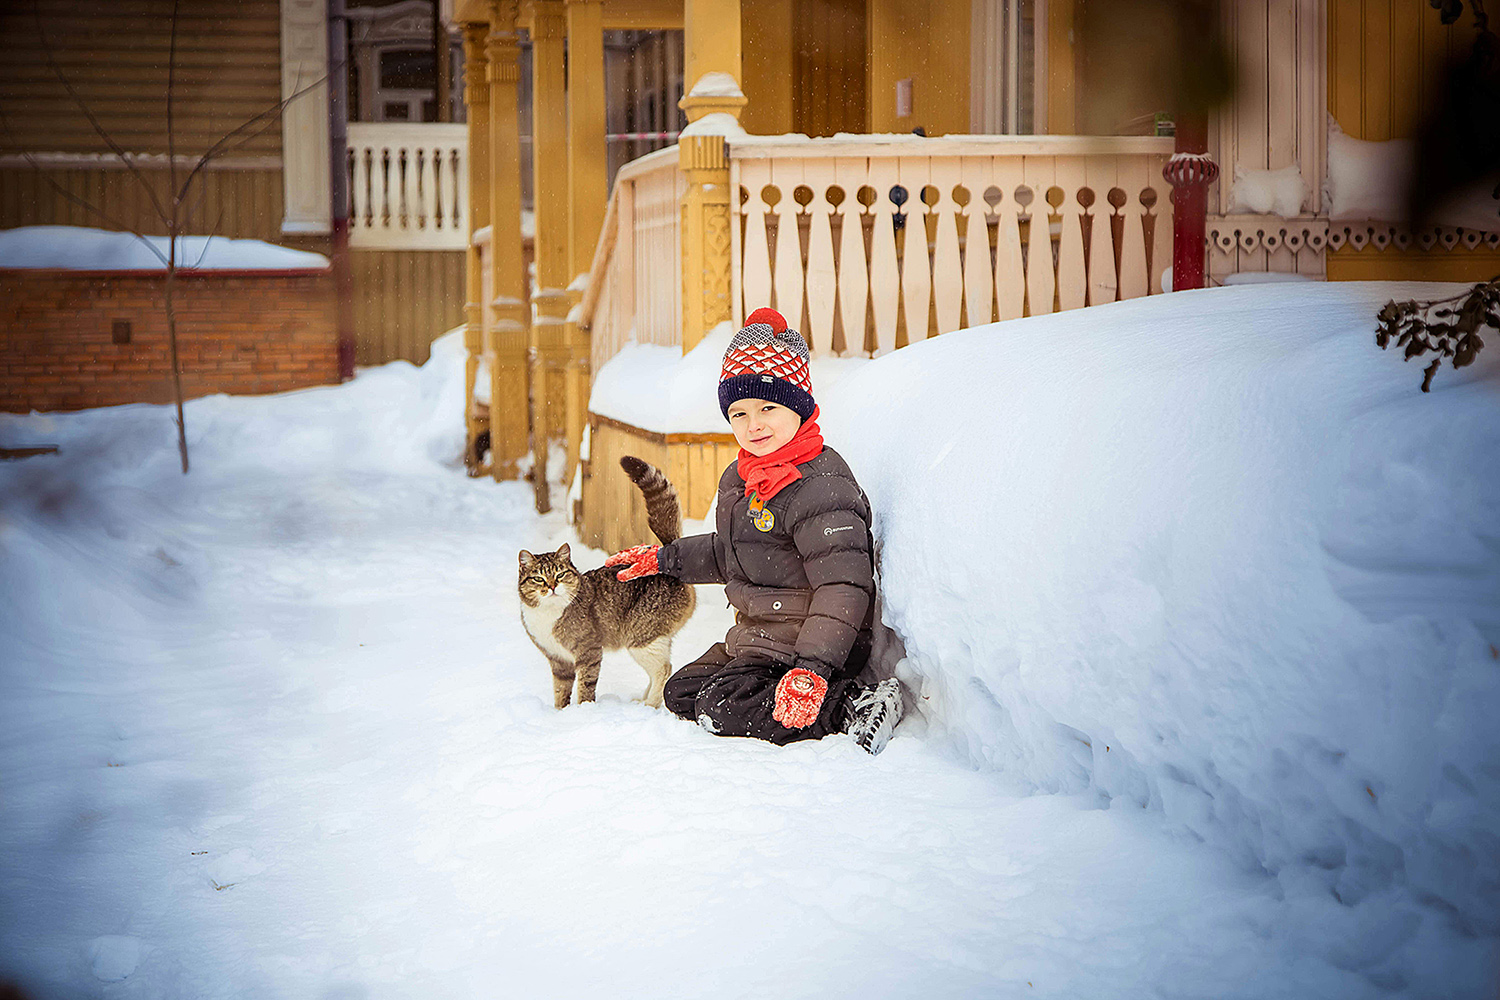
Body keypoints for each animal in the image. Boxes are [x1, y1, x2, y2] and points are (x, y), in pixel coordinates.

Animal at [522, 458, 696, 707]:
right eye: (538, 578)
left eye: (560, 574)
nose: (552, 587)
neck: (547, 613)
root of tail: (668, 555)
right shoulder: (557, 660)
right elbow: (560, 690)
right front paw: (559, 712)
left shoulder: (589, 651)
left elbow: (585, 685)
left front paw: (584, 709)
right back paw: (641, 700)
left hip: (642, 637)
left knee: (664, 669)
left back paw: (650, 704)